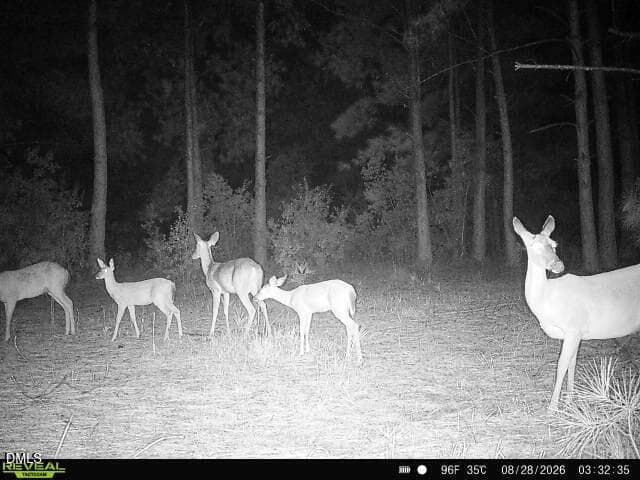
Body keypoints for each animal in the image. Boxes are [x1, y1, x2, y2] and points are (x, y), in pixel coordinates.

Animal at [513, 215, 640, 410]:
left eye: (554, 244)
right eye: (533, 246)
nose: (558, 265)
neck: (547, 302)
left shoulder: (573, 328)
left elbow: (561, 365)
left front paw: (552, 408)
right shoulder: (576, 333)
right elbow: (572, 364)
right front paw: (569, 400)